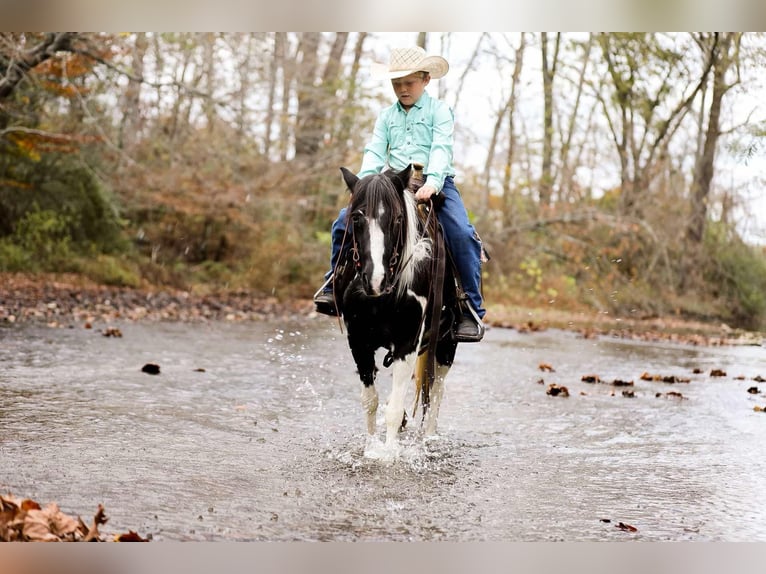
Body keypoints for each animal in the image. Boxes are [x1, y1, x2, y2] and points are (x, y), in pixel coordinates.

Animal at [330, 164, 460, 451]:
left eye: (398, 219)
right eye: (356, 218)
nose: (375, 279)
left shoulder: (407, 343)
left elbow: (394, 408)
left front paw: (389, 455)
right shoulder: (358, 341)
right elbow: (370, 401)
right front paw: (371, 449)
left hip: (447, 345)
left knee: (437, 391)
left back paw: (429, 438)